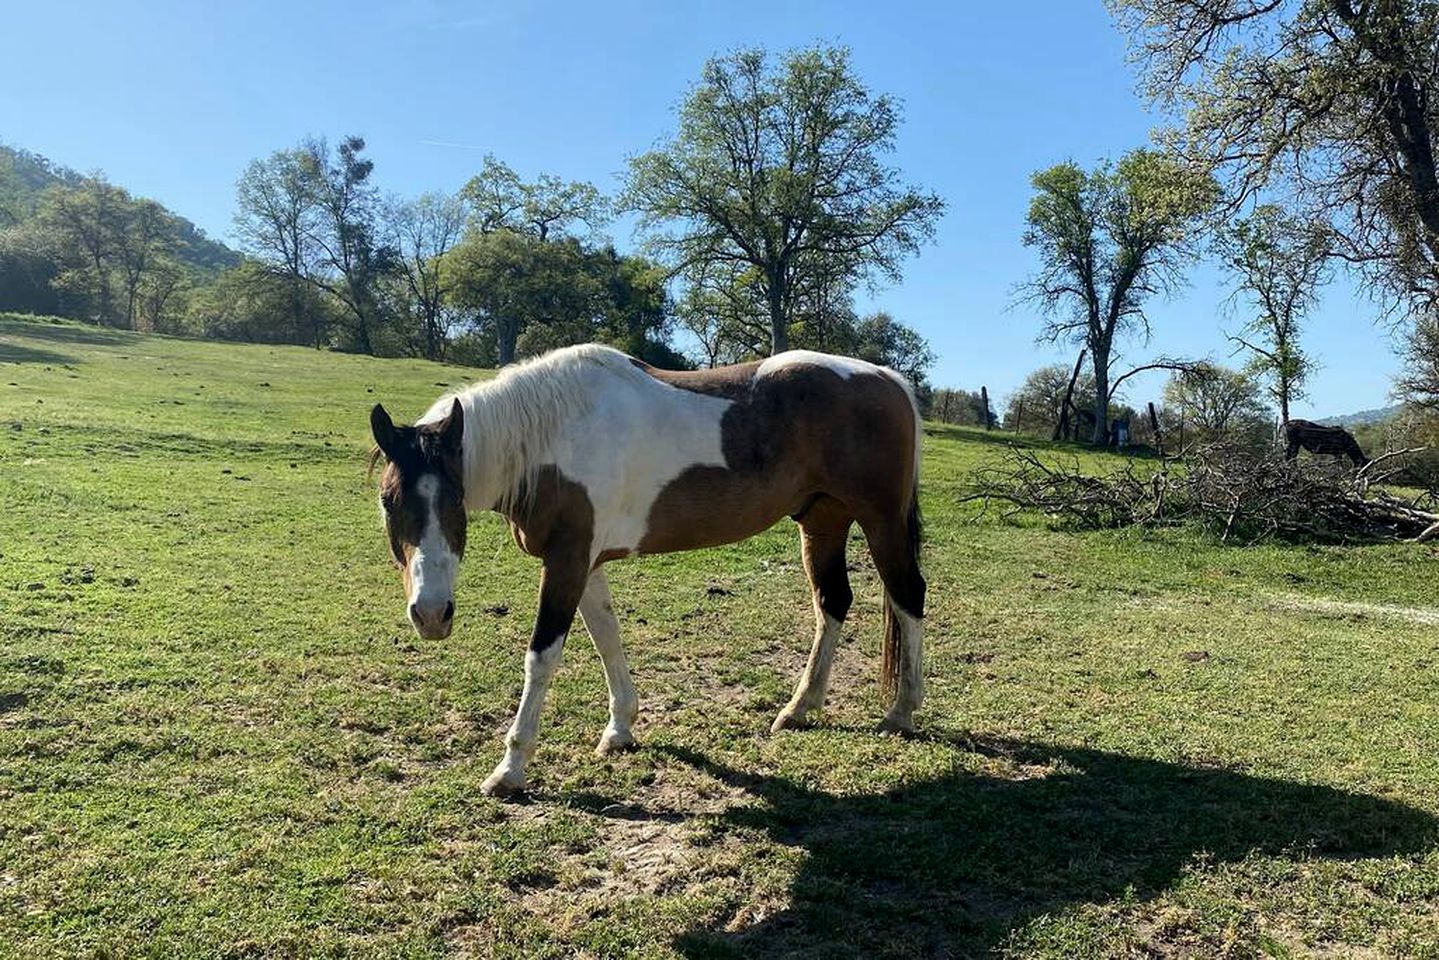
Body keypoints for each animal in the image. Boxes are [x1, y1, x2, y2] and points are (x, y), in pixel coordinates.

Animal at [371, 343, 926, 794]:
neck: (554, 436)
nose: (431, 614)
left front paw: (510, 770)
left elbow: (542, 657)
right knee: (832, 602)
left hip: (880, 520)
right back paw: (800, 708)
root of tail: (886, 378)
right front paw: (620, 729)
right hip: (823, 519)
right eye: (387, 501)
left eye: (454, 501)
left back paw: (901, 712)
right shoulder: (585, 562)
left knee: (908, 596)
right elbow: (607, 639)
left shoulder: (568, 559)